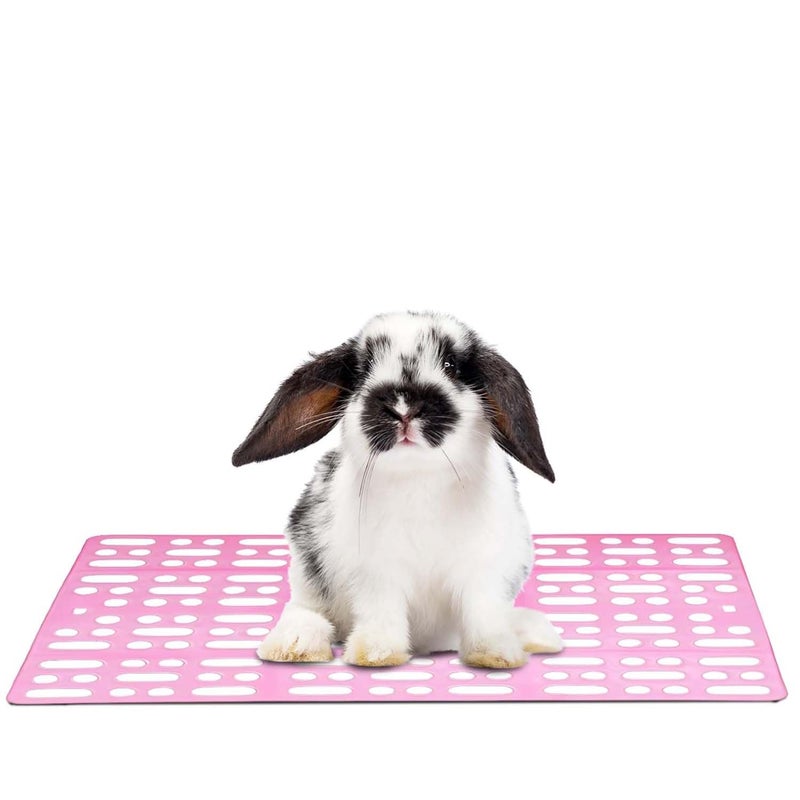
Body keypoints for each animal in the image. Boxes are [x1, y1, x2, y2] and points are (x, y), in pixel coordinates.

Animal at [232, 311, 564, 669]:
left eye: (451, 365)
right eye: (363, 370)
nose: (403, 407)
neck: (419, 477)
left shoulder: (486, 570)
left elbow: (484, 613)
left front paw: (496, 655)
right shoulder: (375, 573)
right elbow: (382, 611)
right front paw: (378, 654)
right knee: (305, 612)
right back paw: (294, 646)